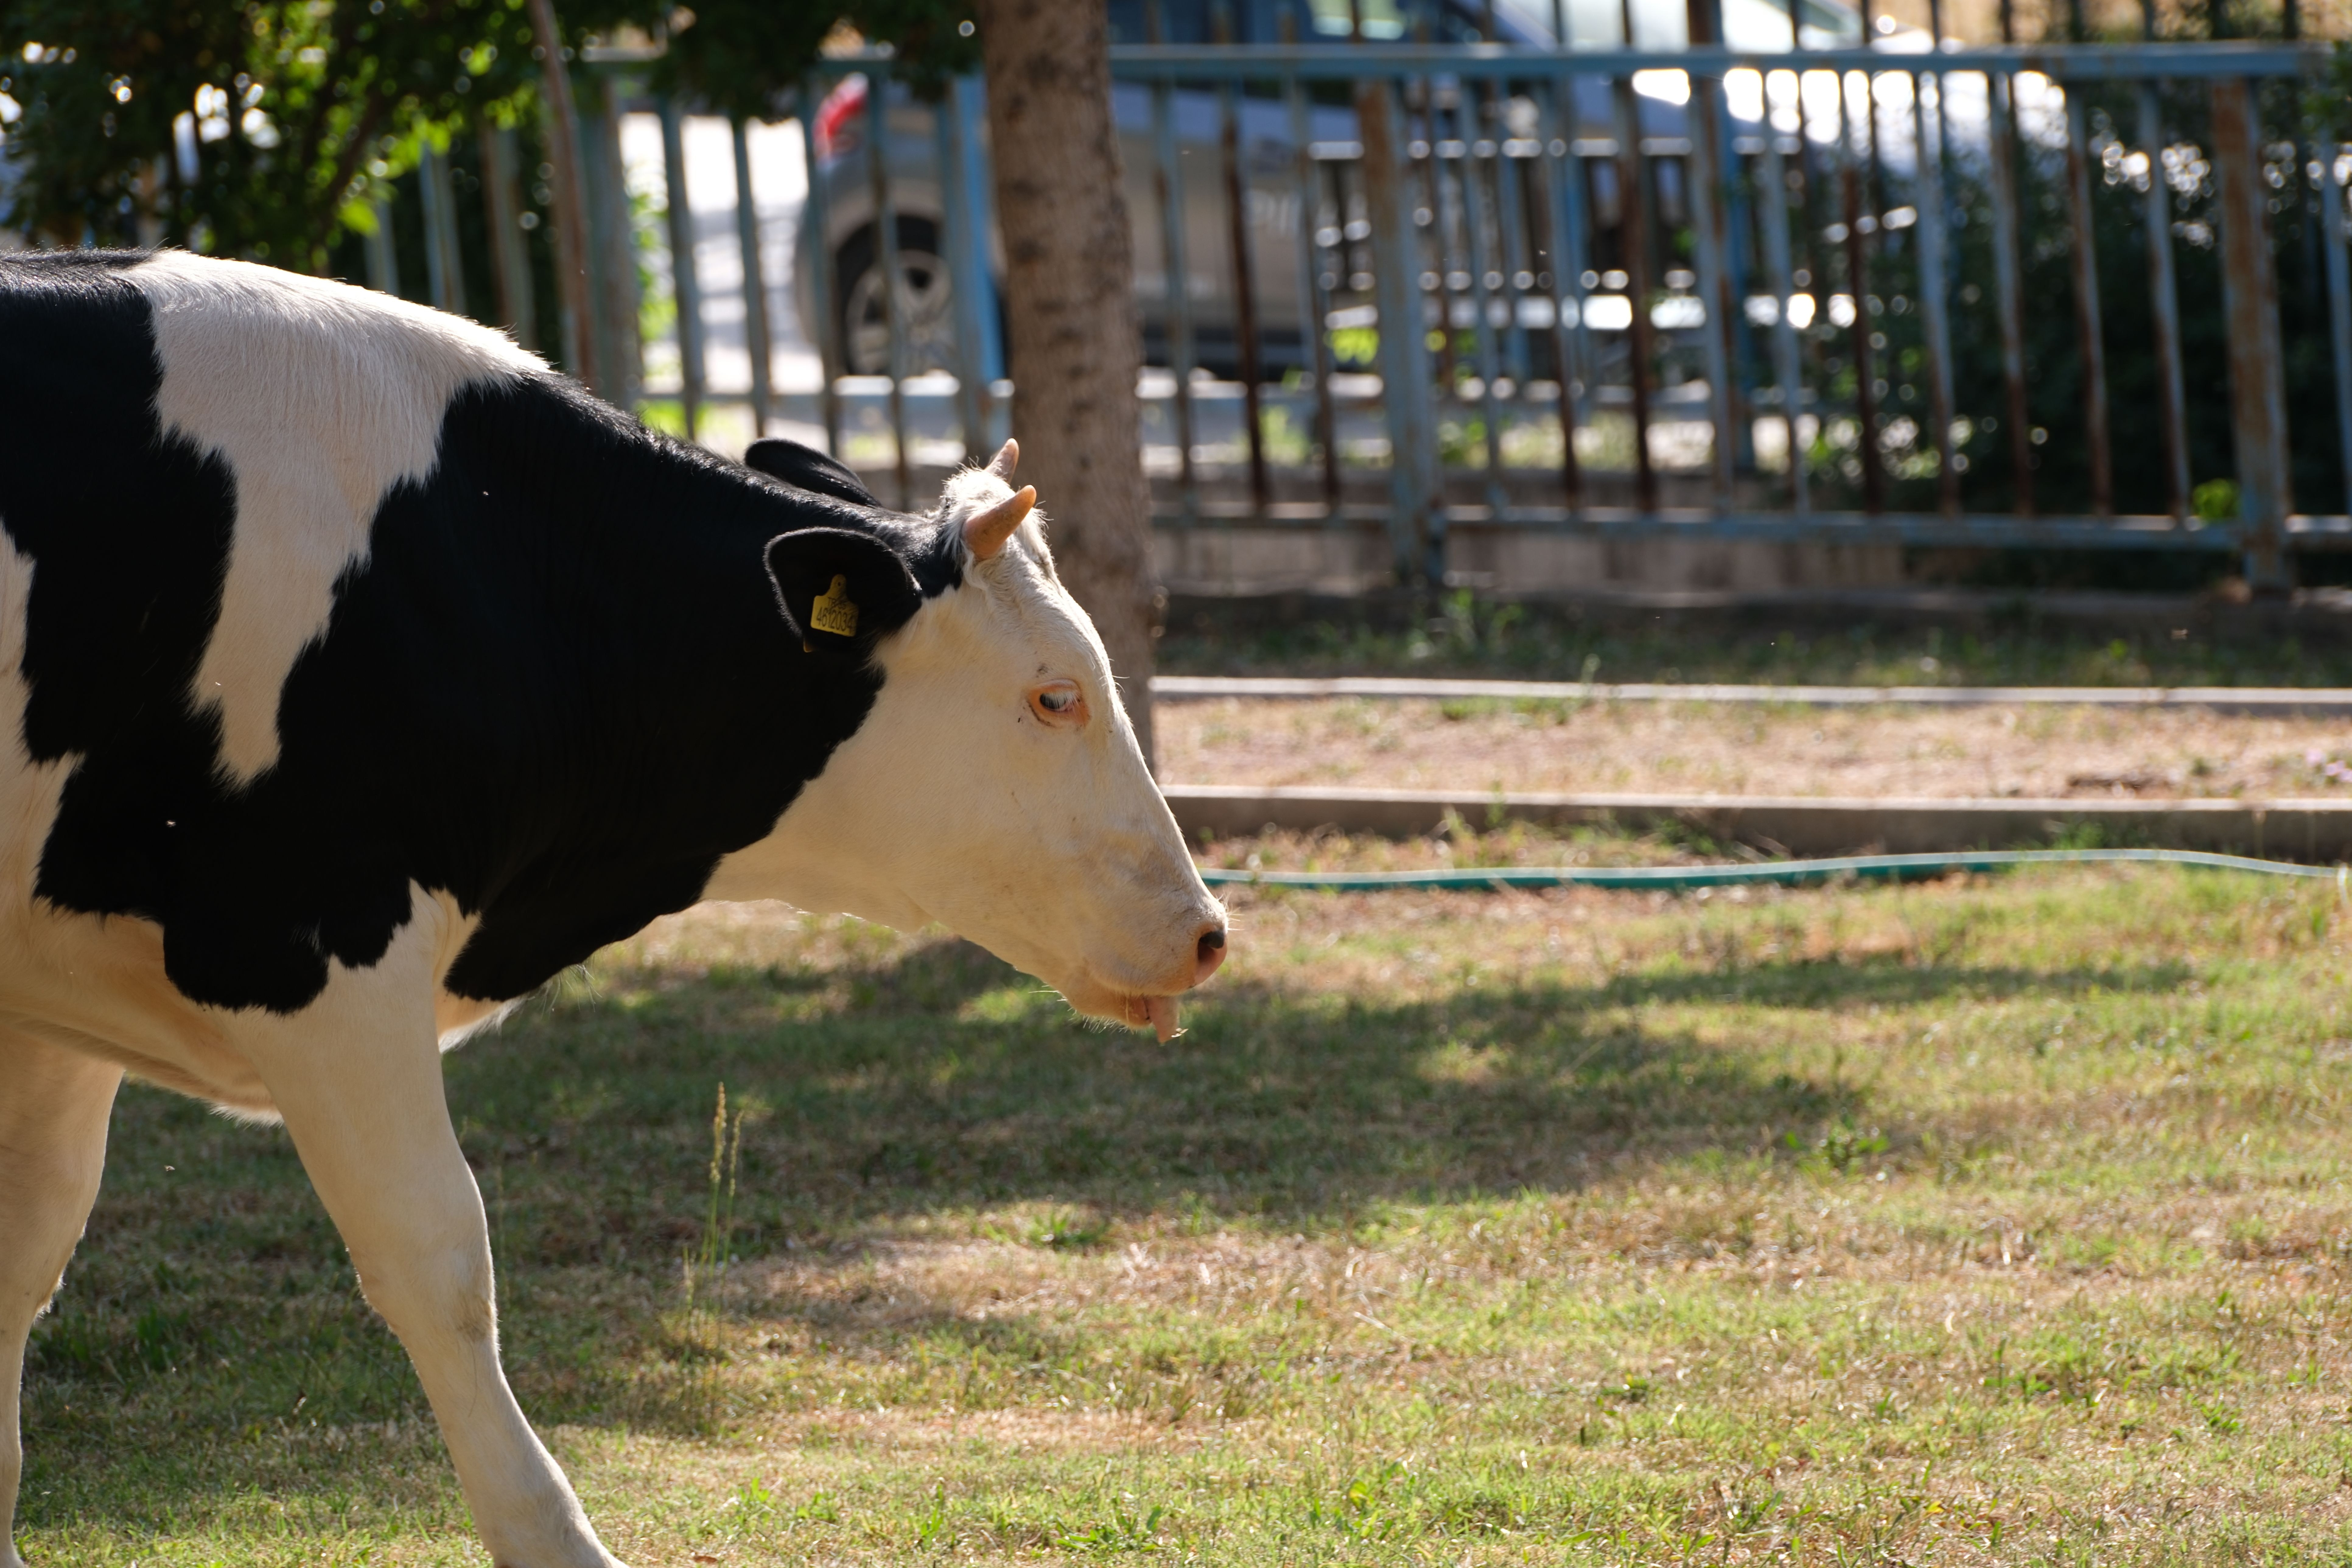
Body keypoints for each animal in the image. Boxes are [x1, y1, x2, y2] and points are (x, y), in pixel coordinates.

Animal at [0, 248, 1227, 1568]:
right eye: (1055, 696)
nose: (1207, 931)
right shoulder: (314, 950)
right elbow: (436, 1253)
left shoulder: (56, 1005)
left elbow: (25, 1254)